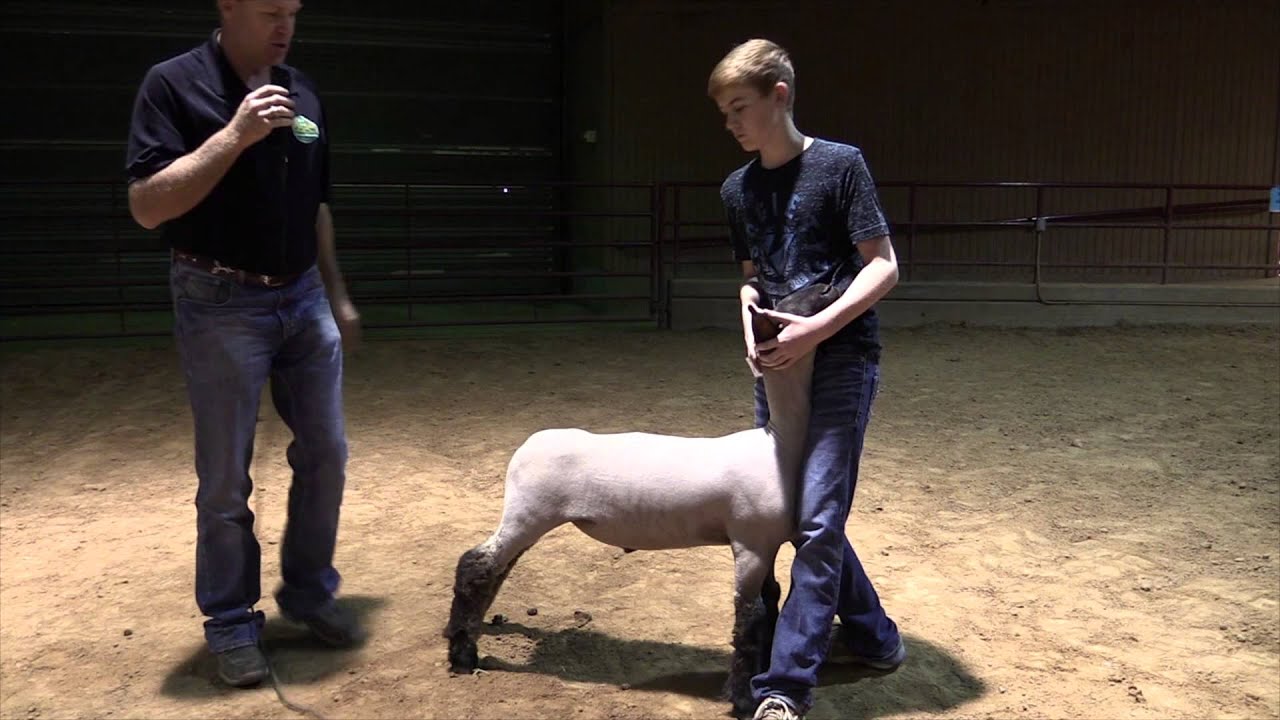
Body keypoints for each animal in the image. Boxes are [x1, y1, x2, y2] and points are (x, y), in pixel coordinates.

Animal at [443, 279, 848, 717]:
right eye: (793, 304)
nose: (832, 281)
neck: (778, 443)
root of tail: (525, 447)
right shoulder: (749, 544)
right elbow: (750, 617)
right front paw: (741, 697)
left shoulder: (767, 543)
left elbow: (771, 604)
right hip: (528, 512)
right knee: (477, 564)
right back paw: (462, 655)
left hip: (527, 516)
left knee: (492, 570)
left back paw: (460, 635)